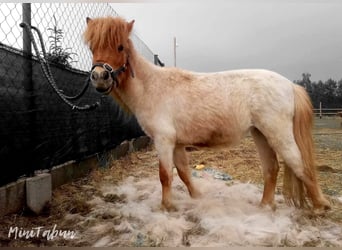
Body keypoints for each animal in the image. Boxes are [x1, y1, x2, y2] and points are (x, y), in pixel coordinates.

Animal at [82, 16, 328, 212]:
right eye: (92, 47)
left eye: (120, 47)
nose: (100, 77)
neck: (152, 87)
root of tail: (289, 85)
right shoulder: (177, 144)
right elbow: (183, 172)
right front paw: (197, 197)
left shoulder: (163, 141)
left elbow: (165, 175)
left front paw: (166, 207)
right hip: (261, 134)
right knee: (271, 168)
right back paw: (265, 206)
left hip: (278, 134)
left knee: (298, 163)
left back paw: (320, 206)